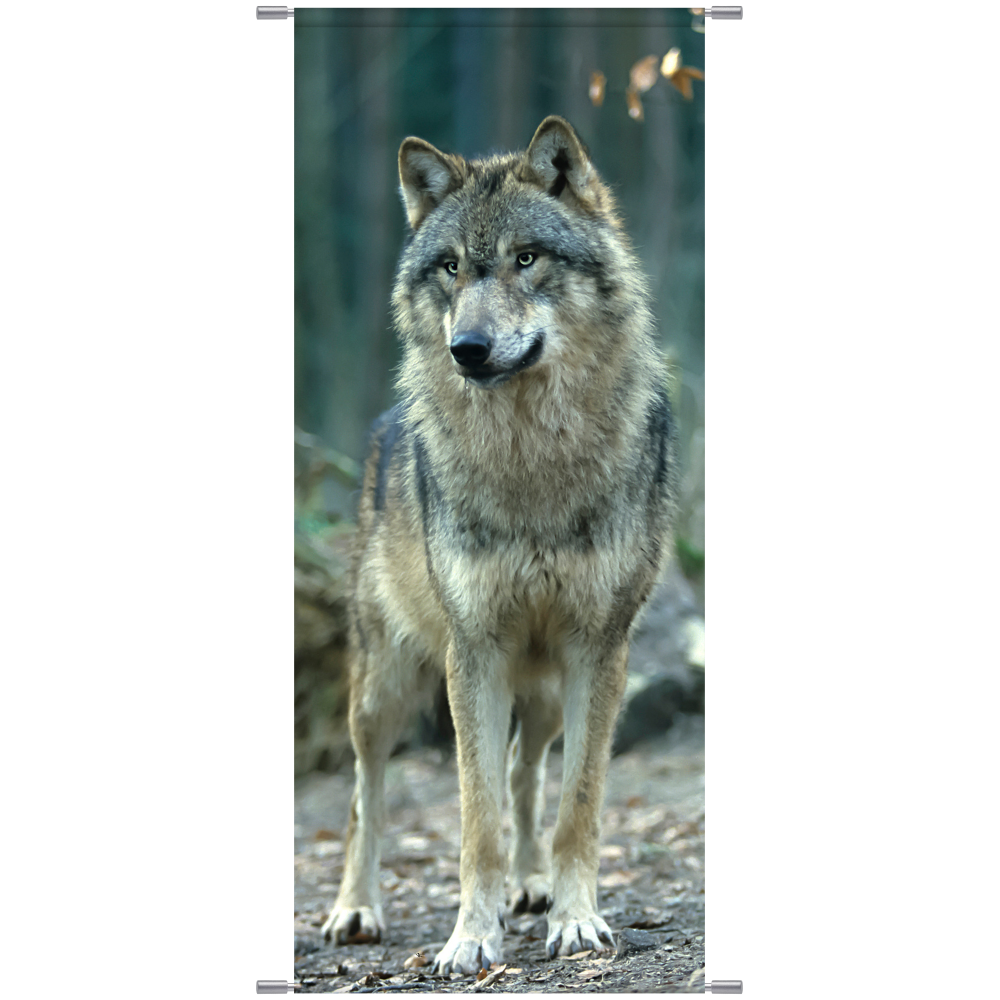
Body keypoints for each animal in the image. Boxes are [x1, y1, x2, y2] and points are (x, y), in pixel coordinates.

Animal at [321, 116, 677, 975]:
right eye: (451, 266)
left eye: (526, 258)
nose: (469, 348)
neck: (531, 462)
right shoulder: (474, 651)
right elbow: (473, 818)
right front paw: (469, 939)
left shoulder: (598, 650)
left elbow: (576, 804)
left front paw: (574, 921)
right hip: (382, 688)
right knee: (363, 795)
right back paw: (356, 908)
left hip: (542, 687)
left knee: (525, 769)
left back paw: (533, 884)